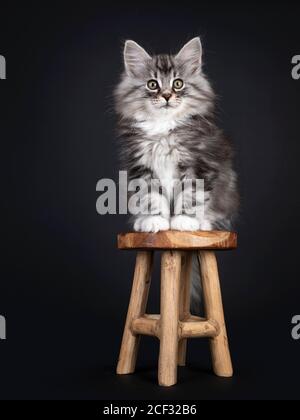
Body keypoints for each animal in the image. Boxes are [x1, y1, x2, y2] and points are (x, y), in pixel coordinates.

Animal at [115, 36, 239, 233]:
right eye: (152, 84)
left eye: (178, 83)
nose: (166, 96)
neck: (164, 127)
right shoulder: (141, 165)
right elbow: (151, 195)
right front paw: (155, 220)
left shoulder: (198, 163)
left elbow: (191, 194)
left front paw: (184, 221)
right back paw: (141, 221)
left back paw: (203, 223)